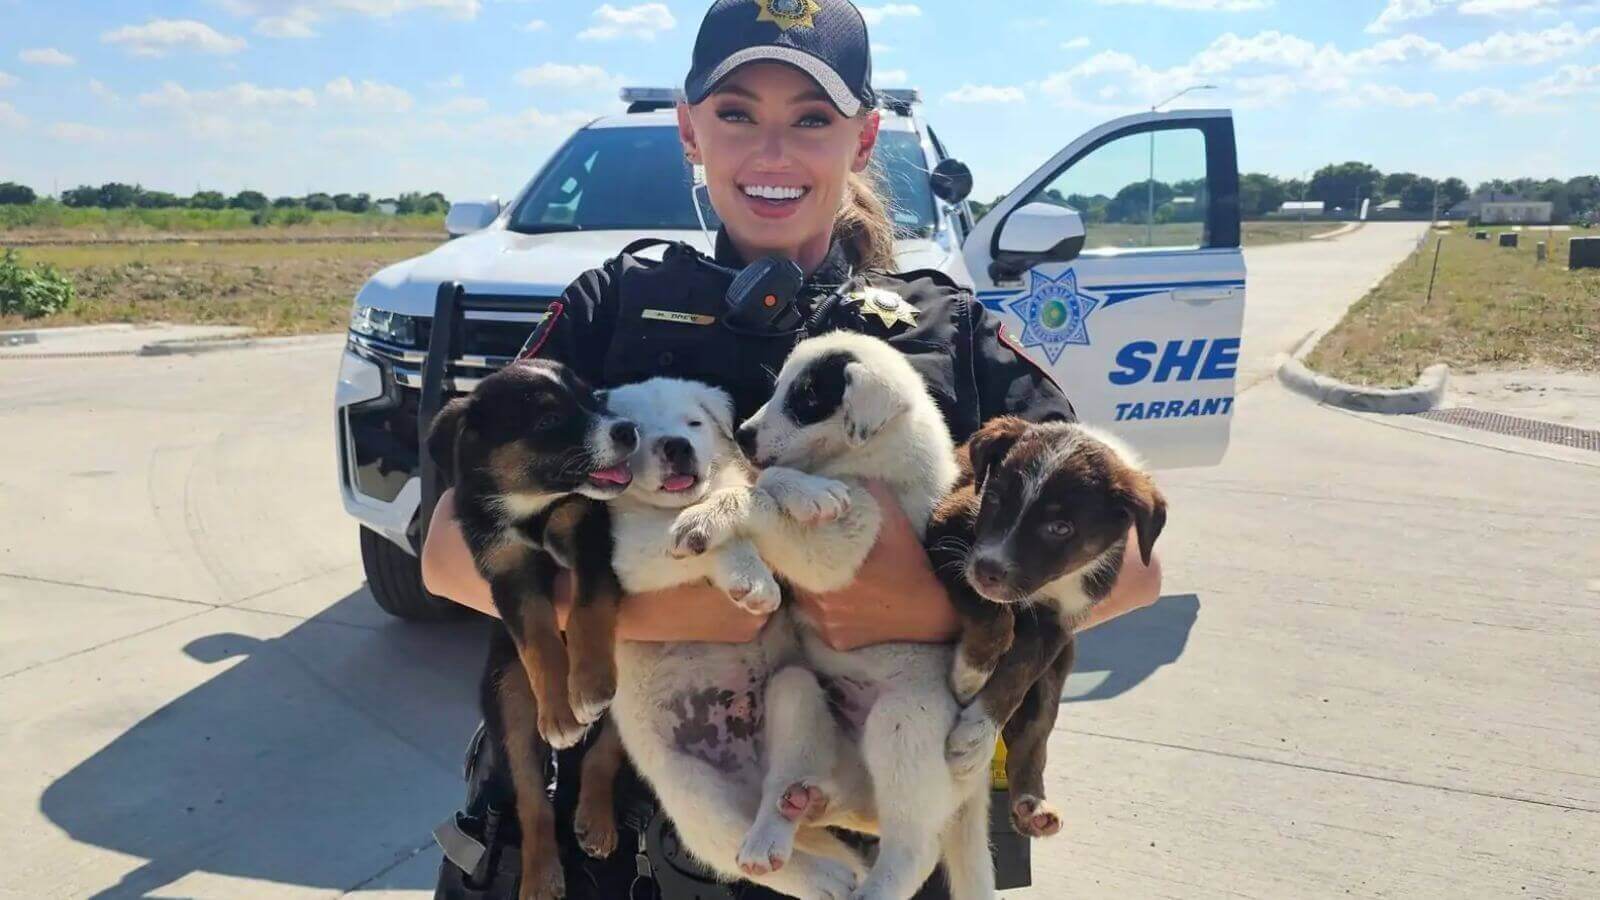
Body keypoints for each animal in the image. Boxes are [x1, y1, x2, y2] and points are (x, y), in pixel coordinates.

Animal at [432, 357, 643, 896]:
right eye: (548, 419)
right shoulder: (507, 572)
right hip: (506, 697)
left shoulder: (590, 537)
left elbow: (588, 608)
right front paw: (561, 712)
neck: (531, 509)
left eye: (593, 398)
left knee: (602, 755)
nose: (629, 430)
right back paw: (541, 875)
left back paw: (595, 821)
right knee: (532, 800)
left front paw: (587, 685)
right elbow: (540, 641)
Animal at [668, 331, 992, 896]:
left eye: (807, 398)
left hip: (904, 722)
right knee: (801, 779)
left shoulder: (847, 543)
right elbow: (769, 479)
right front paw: (793, 493)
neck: (864, 458)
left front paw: (718, 512)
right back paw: (780, 824)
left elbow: (764, 488)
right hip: (796, 693)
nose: (742, 436)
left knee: (916, 848)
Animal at [934, 416, 1171, 839]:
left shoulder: (1058, 627)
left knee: (1033, 733)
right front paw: (970, 673)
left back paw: (1032, 805)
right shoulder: (948, 529)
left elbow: (1015, 678)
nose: (988, 570)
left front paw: (976, 736)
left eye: (1060, 528)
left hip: (1058, 671)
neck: (1052, 584)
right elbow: (997, 618)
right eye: (995, 498)